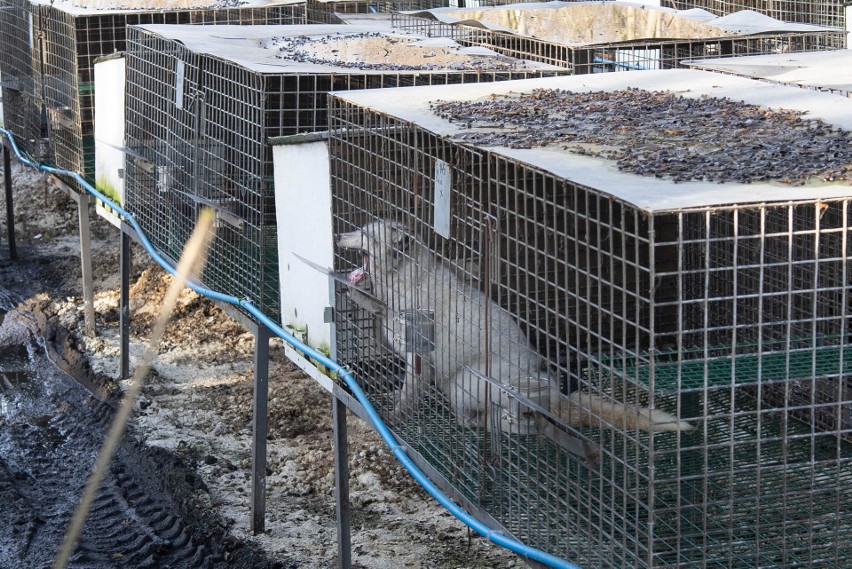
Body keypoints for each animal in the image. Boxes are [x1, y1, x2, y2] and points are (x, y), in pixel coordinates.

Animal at [336, 220, 696, 450]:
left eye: (364, 234)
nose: (339, 234)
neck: (404, 284)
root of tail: (555, 398)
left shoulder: (419, 356)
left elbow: (407, 393)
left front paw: (393, 418)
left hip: (466, 381)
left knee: (513, 424)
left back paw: (485, 424)